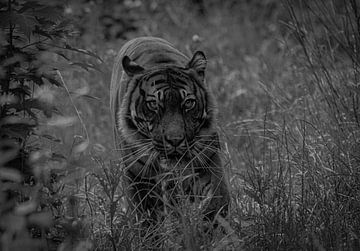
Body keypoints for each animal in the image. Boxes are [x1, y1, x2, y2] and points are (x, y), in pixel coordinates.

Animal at [108, 36, 229, 225]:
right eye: (153, 104)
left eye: (188, 103)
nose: (175, 140)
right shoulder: (137, 176)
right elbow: (144, 216)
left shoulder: (208, 160)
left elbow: (217, 199)